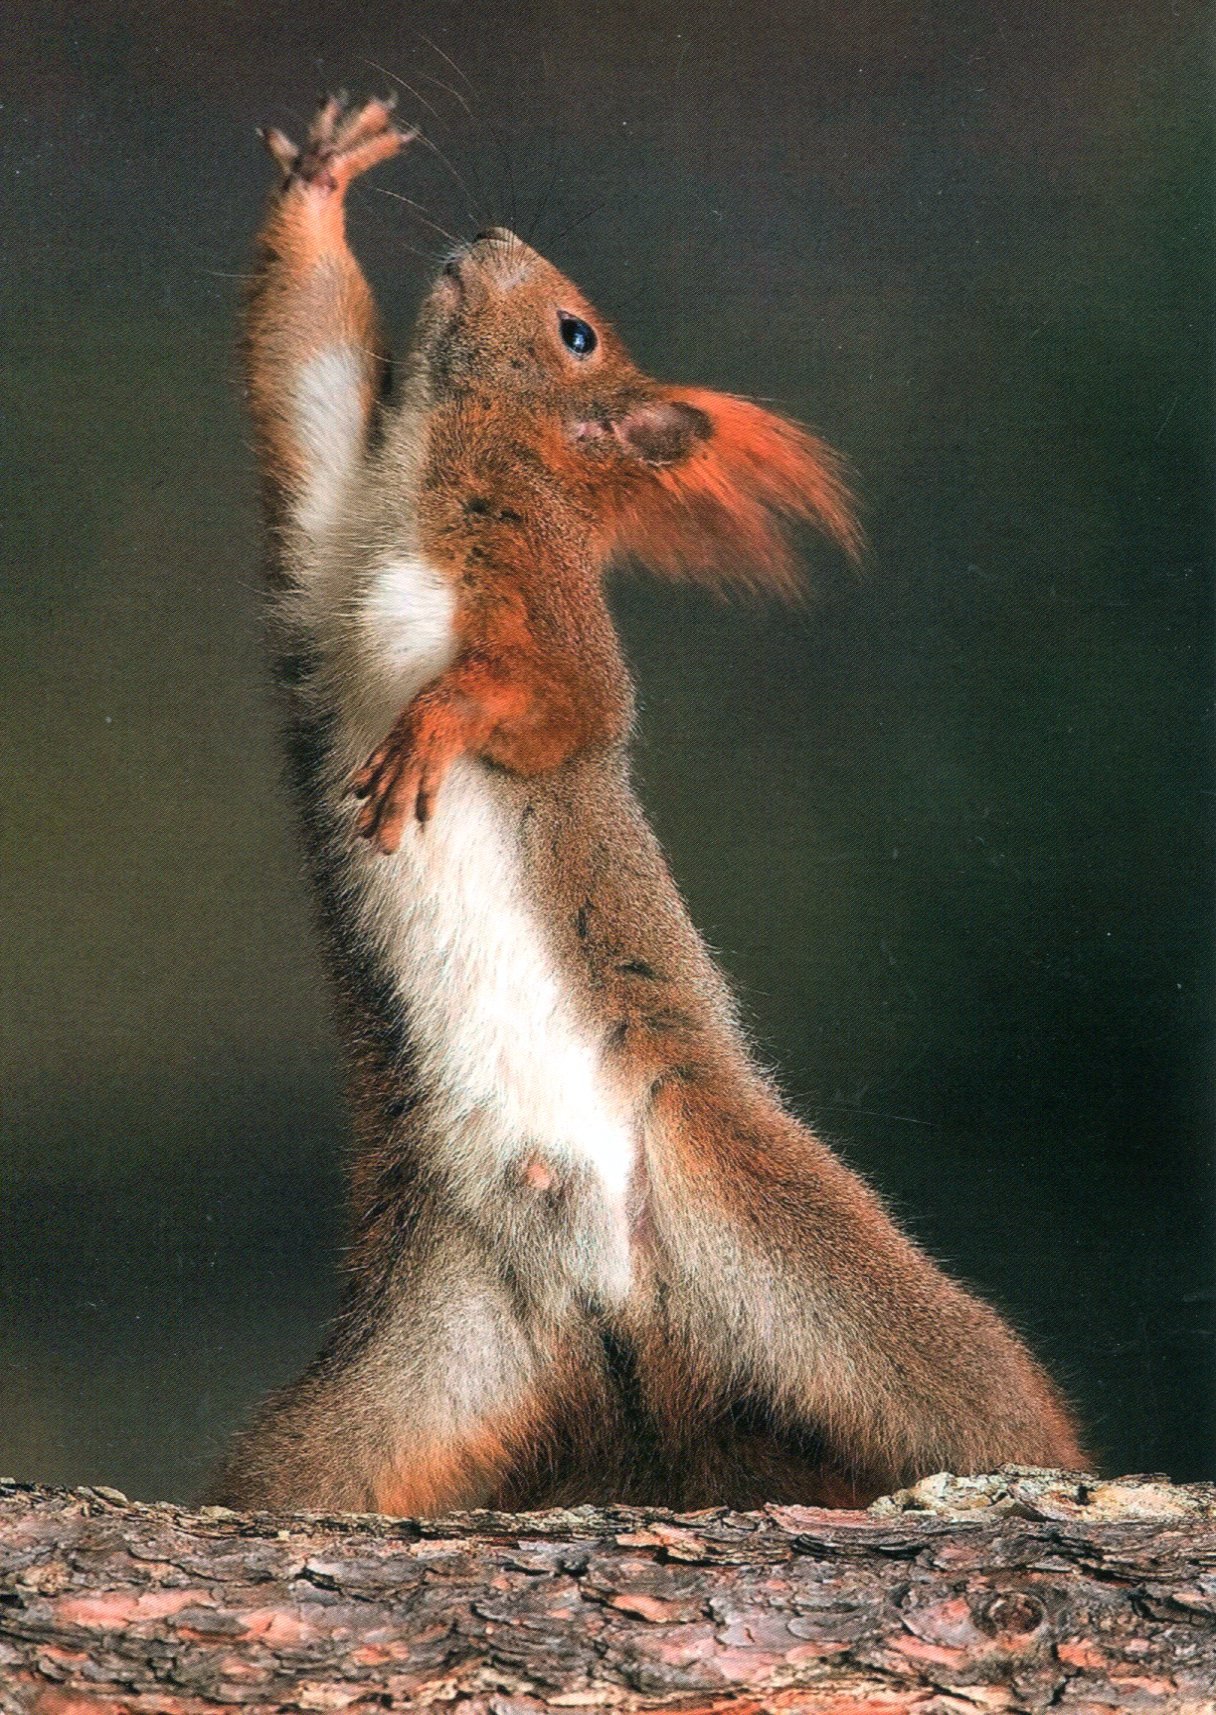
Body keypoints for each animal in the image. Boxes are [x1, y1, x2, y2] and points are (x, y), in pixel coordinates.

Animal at [209, 94, 1084, 1514]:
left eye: (575, 332)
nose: (487, 238)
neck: (433, 478)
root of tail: (614, 1297)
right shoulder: (326, 519)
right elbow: (303, 369)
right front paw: (323, 183)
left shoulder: (545, 608)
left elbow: (553, 701)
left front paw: (434, 728)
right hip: (411, 1367)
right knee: (302, 1478)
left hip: (830, 1280)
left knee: (986, 1413)